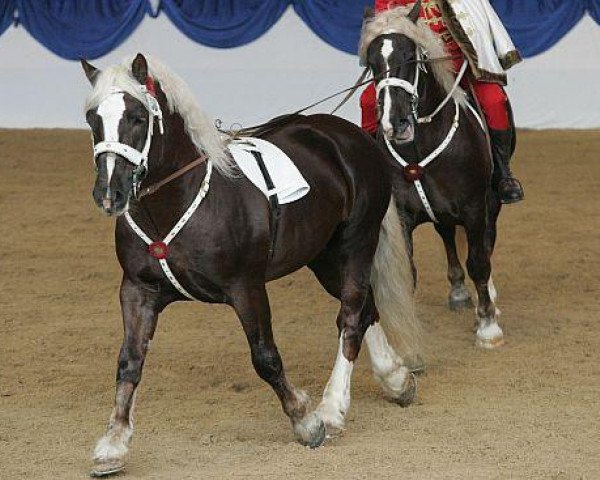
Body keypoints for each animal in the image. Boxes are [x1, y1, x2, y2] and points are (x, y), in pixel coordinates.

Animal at [82, 53, 420, 476]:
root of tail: (350, 135)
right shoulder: (138, 291)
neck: (180, 200)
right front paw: (112, 445)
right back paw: (395, 380)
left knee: (351, 315)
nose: (109, 193)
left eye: (137, 117)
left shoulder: (246, 288)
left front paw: (306, 422)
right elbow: (129, 361)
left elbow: (266, 358)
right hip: (323, 258)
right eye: (92, 118)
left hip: (355, 245)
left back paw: (332, 408)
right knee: (366, 308)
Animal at [360, 3, 506, 348]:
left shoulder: (474, 206)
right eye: (372, 64)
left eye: (410, 57)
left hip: (491, 202)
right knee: (447, 235)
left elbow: (479, 261)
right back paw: (458, 291)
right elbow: (409, 271)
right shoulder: (402, 214)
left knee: (485, 243)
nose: (396, 123)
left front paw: (488, 325)